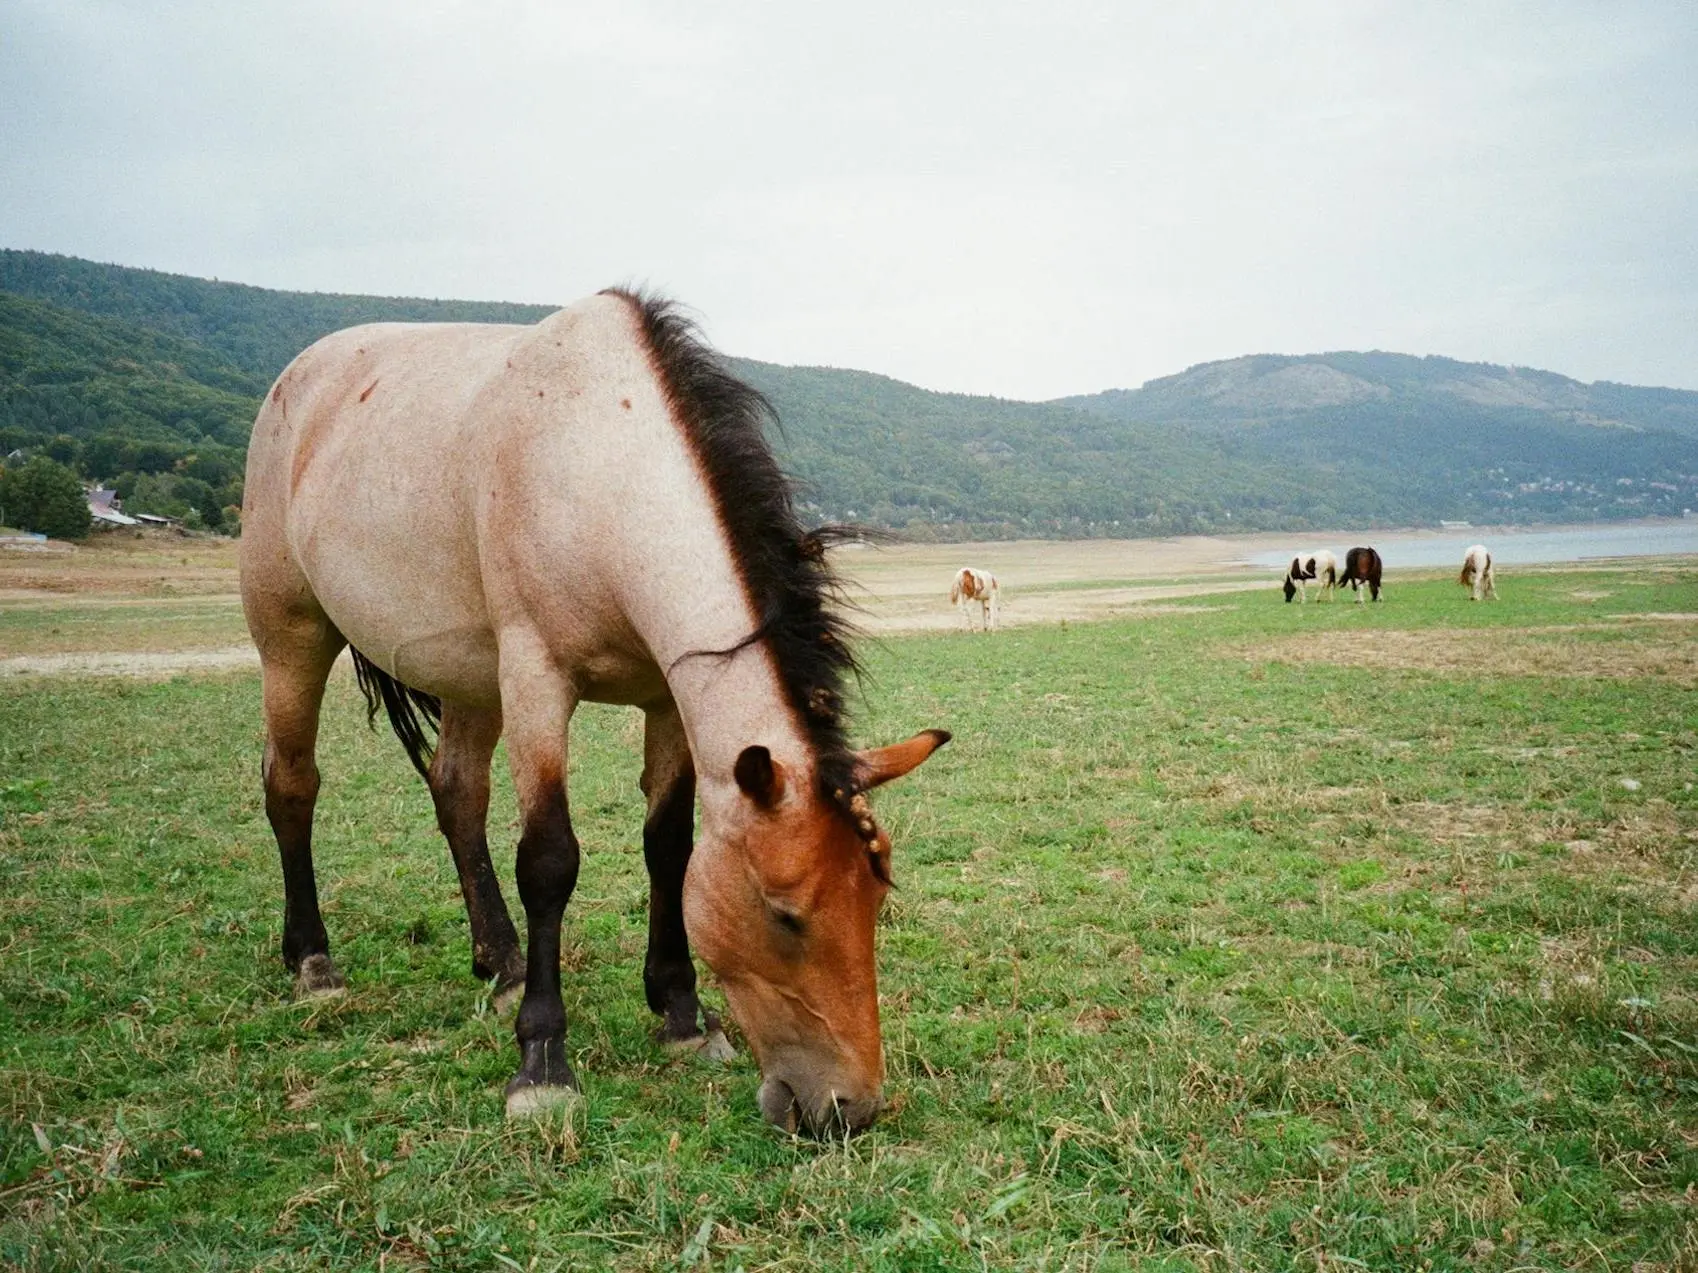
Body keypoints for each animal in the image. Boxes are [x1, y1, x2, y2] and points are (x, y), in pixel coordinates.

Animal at [241, 288, 950, 1133]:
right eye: (785, 915)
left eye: (875, 898)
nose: (849, 1108)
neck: (601, 467)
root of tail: (298, 378)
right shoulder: (536, 678)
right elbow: (549, 860)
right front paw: (543, 1063)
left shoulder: (666, 696)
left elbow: (668, 846)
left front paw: (682, 1015)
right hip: (292, 635)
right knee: (292, 786)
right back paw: (313, 961)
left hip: (468, 673)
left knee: (457, 793)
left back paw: (503, 964)